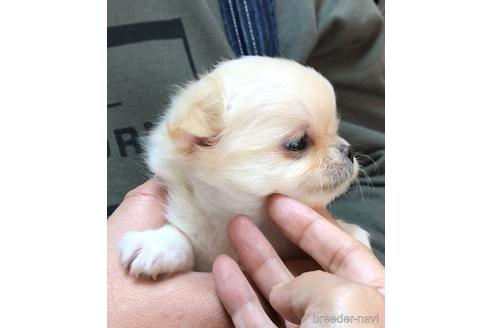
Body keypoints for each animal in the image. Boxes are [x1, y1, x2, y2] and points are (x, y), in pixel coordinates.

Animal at [119, 55, 368, 278]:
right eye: (297, 143)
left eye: (336, 131)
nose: (348, 151)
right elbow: (183, 236)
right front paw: (157, 243)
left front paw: (346, 230)